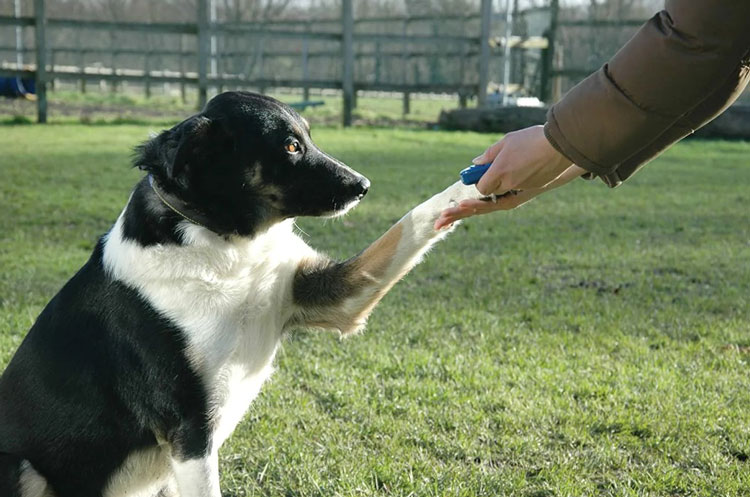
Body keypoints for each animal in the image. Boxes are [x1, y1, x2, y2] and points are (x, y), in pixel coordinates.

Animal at [0, 91, 482, 494]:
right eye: (290, 146)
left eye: (308, 137)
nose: (362, 186)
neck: (227, 246)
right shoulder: (190, 431)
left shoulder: (330, 296)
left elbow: (412, 222)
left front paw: (476, 183)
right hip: (22, 467)